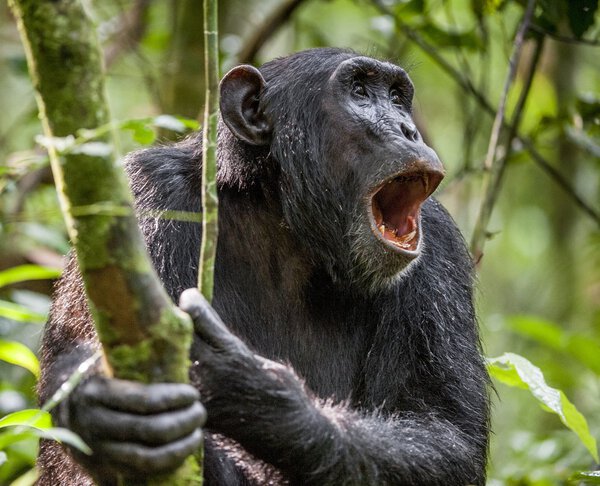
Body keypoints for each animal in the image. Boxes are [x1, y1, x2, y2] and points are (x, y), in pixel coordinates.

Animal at [35, 48, 490, 486]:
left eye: (396, 97)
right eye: (359, 91)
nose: (407, 129)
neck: (282, 220)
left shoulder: (439, 248)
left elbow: (447, 435)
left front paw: (256, 389)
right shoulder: (145, 194)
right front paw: (92, 407)